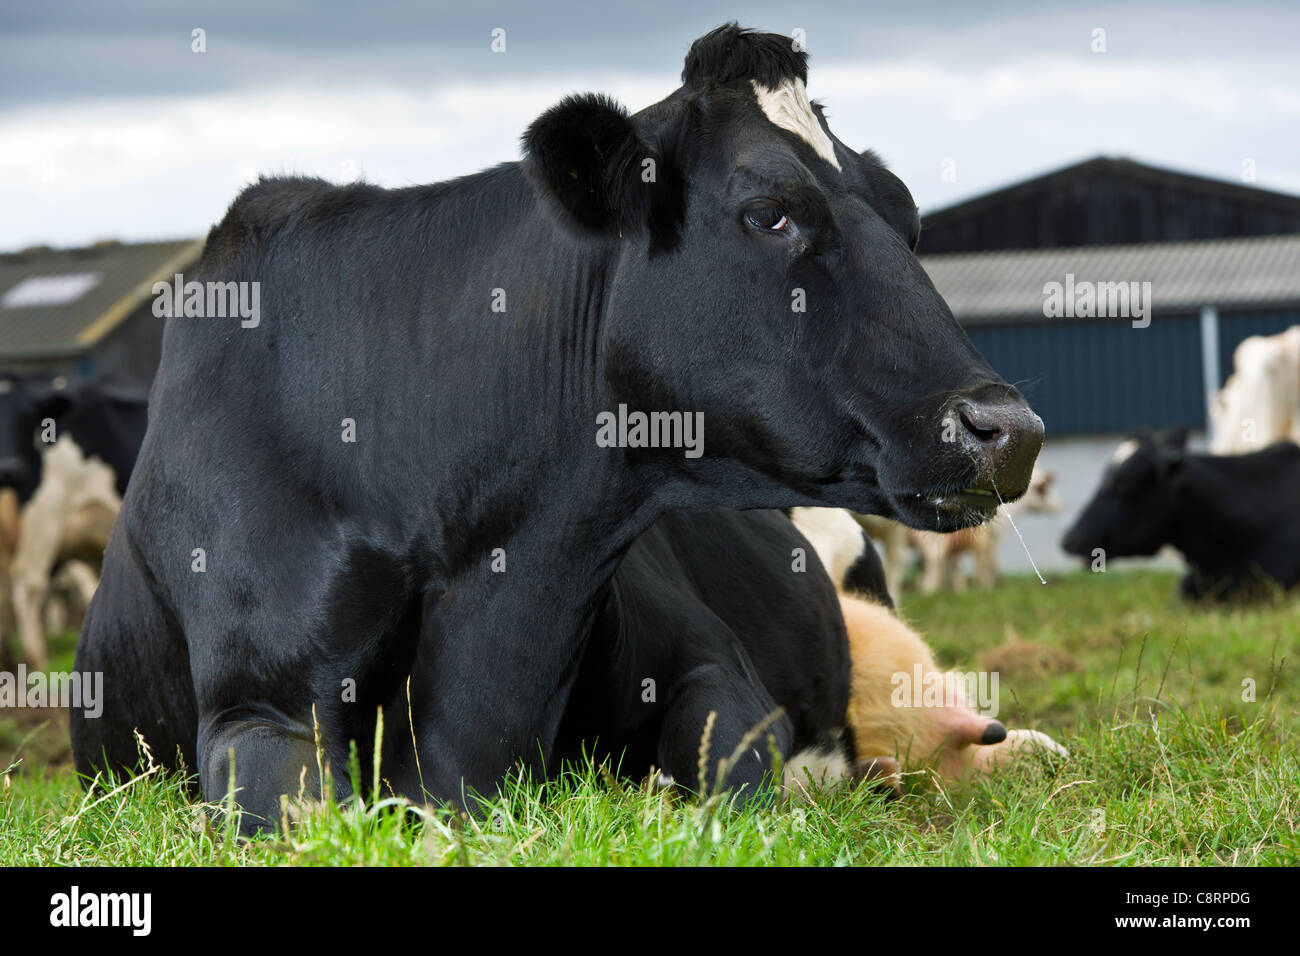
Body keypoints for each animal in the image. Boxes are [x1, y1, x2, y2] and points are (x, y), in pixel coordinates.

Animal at [73, 24, 1045, 832]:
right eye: (770, 212)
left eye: (908, 215)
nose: (1010, 427)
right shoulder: (258, 709)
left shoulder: (710, 664)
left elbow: (726, 766)